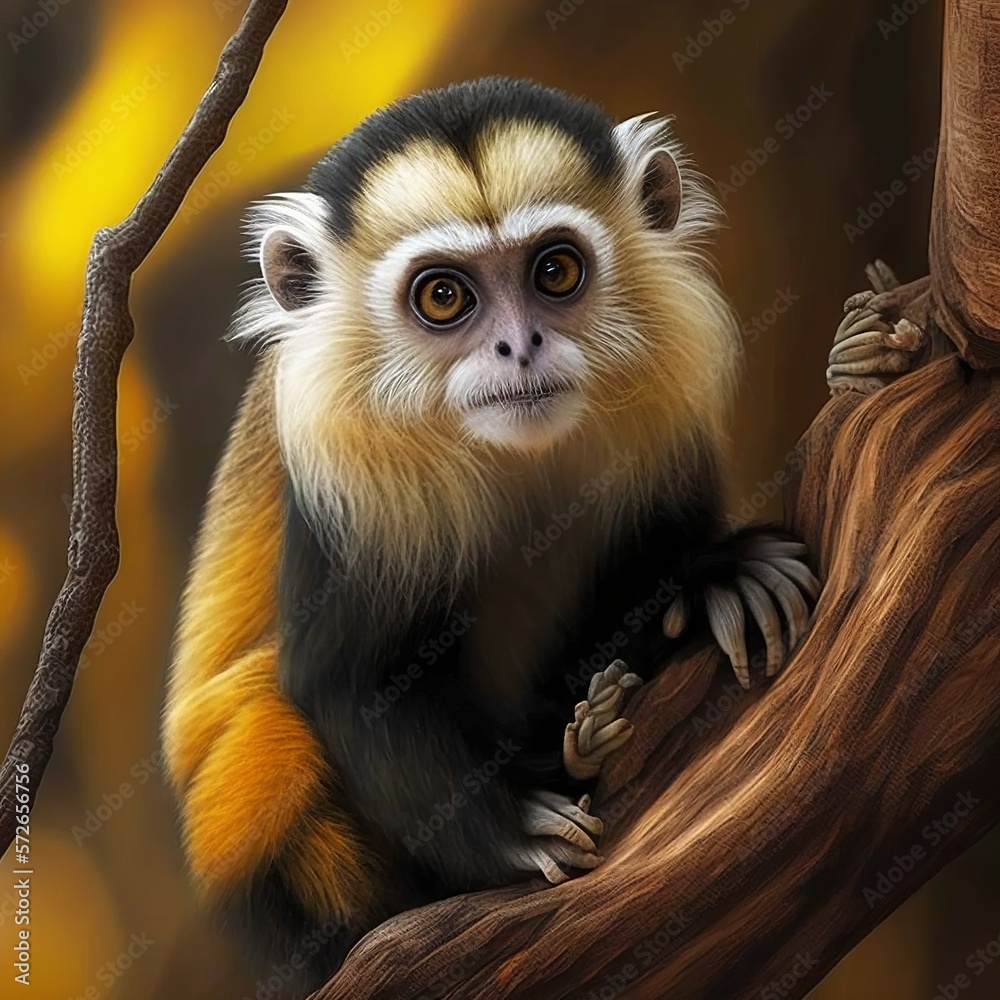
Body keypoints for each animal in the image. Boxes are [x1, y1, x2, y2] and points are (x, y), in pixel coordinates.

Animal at [162, 76, 820, 996]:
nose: (519, 346)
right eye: (444, 297)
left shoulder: (672, 382)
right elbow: (347, 681)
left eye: (555, 271)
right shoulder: (343, 462)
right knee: (266, 730)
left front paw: (714, 577)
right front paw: (512, 834)